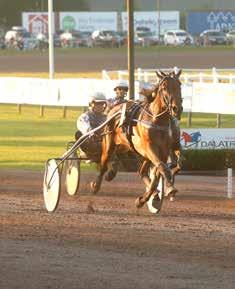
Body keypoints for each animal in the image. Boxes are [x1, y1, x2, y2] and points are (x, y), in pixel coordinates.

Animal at [89, 70, 183, 209]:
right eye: (164, 87)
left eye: (179, 84)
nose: (177, 108)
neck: (157, 120)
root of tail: (115, 108)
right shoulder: (150, 148)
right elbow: (163, 168)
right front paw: (167, 189)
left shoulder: (163, 151)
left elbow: (159, 172)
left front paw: (145, 199)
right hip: (109, 143)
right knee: (103, 164)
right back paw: (97, 185)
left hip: (135, 150)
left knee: (141, 171)